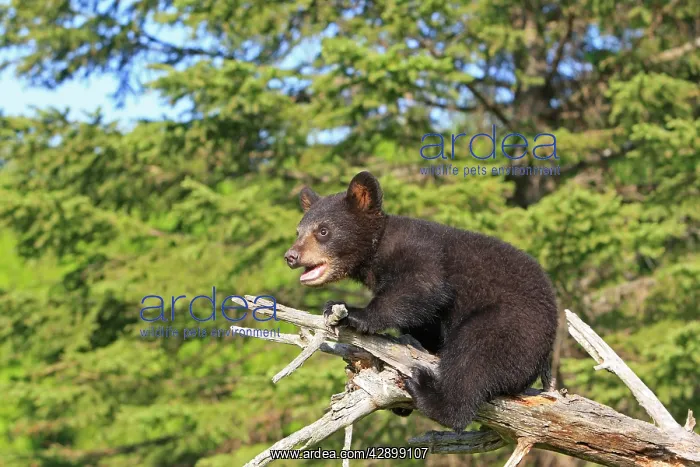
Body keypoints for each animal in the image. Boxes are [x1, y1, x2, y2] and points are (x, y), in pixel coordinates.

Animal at [283, 171, 558, 431]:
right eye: (298, 231)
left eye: (323, 231)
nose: (291, 256)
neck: (376, 252)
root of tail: (545, 356)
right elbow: (424, 322)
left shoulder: (420, 251)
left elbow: (424, 286)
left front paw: (353, 313)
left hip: (514, 325)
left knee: (474, 357)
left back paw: (426, 392)